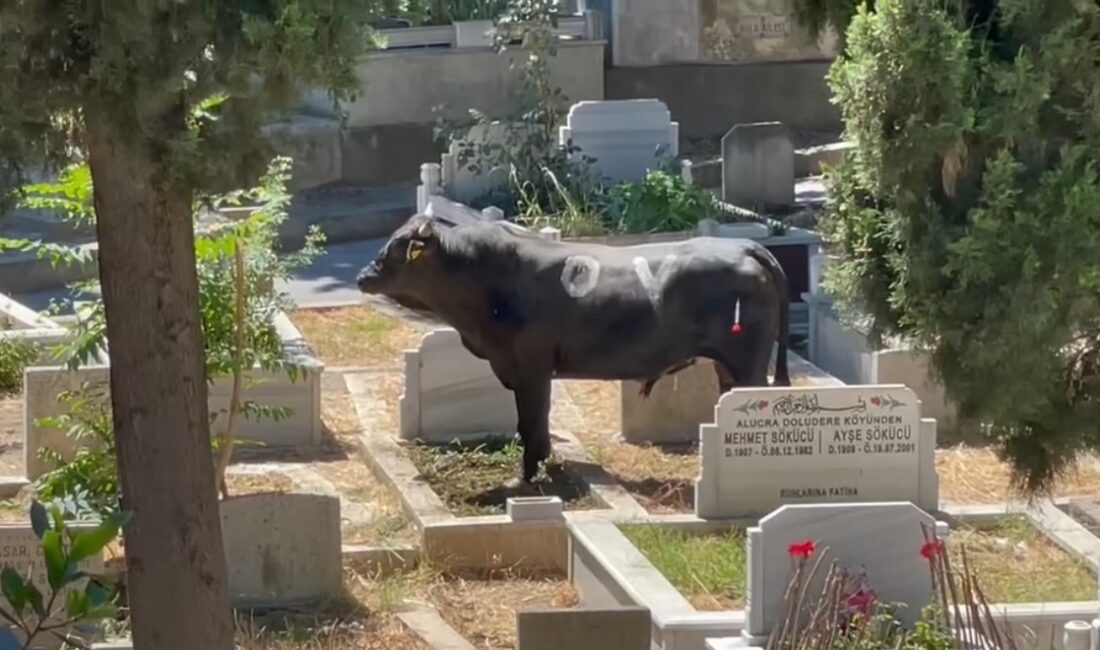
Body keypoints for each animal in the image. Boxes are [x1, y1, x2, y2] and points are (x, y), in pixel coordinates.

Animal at [356, 213, 787, 483]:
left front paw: (527, 477)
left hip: (748, 365)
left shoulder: (531, 366)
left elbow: (531, 423)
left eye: (393, 250)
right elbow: (533, 424)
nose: (361, 276)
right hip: (729, 367)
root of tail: (744, 247)